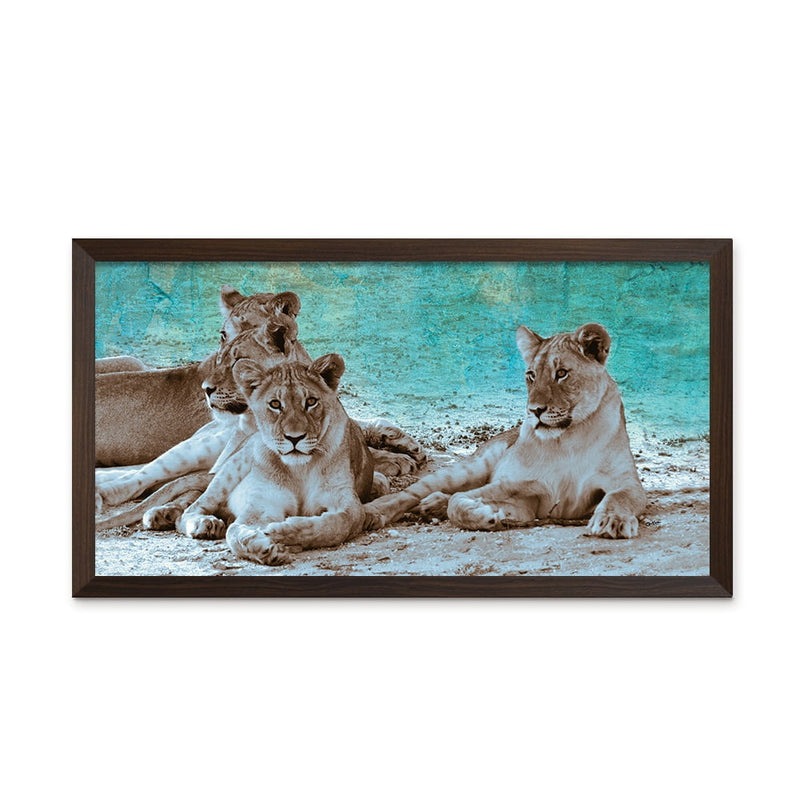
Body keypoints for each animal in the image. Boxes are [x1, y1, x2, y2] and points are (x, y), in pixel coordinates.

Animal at [177, 354, 375, 565]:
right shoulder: (263, 504)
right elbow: (234, 533)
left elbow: (338, 525)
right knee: (190, 510)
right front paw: (264, 548)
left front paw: (284, 531)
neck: (299, 470)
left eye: (311, 401)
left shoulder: (347, 501)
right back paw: (206, 524)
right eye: (275, 404)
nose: (294, 438)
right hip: (228, 472)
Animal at [363, 323, 647, 539]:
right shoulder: (516, 487)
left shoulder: (627, 483)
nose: (535, 410)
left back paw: (433, 505)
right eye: (531, 375)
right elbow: (459, 501)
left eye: (562, 373)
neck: (568, 440)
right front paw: (486, 516)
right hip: (467, 468)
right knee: (409, 494)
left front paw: (612, 521)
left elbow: (618, 498)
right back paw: (374, 512)